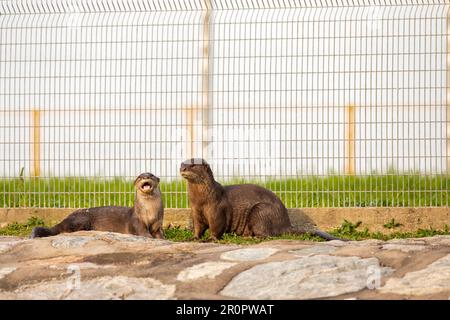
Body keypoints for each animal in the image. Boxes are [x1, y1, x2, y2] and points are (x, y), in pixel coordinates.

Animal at [29, 172, 164, 238]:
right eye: (140, 177)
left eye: (151, 175)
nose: (145, 177)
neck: (150, 213)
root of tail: (64, 219)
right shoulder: (137, 221)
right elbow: (142, 232)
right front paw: (149, 237)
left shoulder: (158, 224)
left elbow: (160, 235)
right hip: (81, 218)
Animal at [179, 159, 342, 241]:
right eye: (181, 163)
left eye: (192, 165)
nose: (182, 168)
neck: (202, 201)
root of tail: (285, 223)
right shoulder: (195, 211)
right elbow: (198, 227)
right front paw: (193, 238)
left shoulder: (217, 211)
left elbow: (216, 227)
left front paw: (210, 239)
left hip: (260, 211)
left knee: (266, 235)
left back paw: (248, 238)